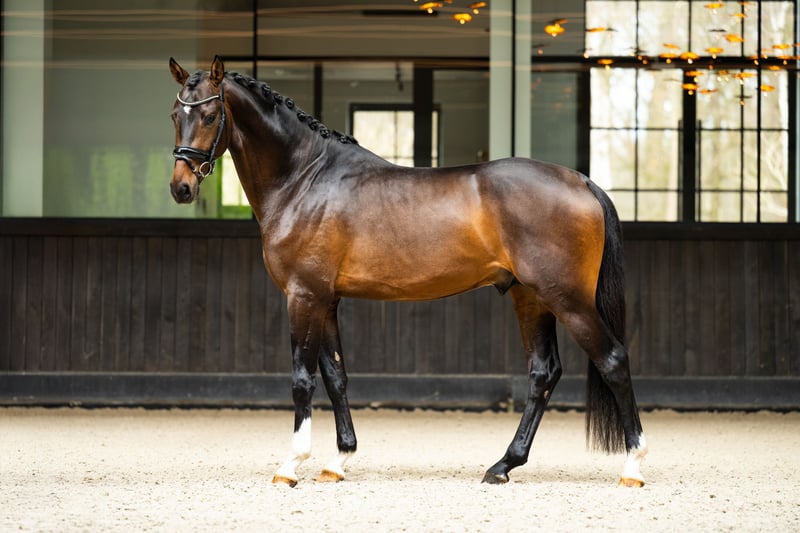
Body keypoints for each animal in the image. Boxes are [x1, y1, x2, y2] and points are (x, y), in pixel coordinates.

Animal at [168, 56, 648, 488]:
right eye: (175, 114)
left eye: (209, 115)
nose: (181, 187)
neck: (306, 179)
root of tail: (582, 181)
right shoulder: (326, 299)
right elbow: (336, 376)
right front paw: (338, 461)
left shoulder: (303, 296)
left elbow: (302, 380)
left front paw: (291, 466)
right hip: (530, 297)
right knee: (543, 372)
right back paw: (503, 465)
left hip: (566, 298)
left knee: (613, 360)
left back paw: (633, 467)